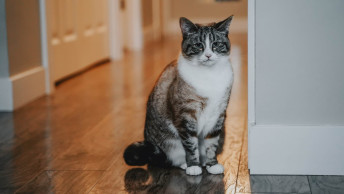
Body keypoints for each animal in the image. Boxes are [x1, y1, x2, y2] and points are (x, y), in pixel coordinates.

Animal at [123, 15, 234, 176]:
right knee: (173, 160)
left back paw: (204, 162)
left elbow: (211, 143)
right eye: (198, 45)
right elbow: (191, 144)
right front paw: (193, 165)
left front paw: (212, 164)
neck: (210, 76)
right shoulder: (186, 116)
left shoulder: (218, 115)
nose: (208, 55)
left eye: (216, 44)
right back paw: (185, 164)